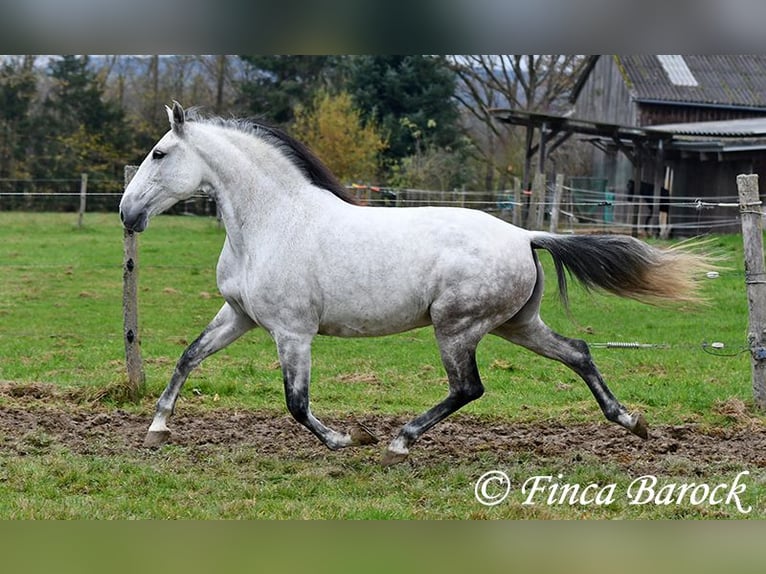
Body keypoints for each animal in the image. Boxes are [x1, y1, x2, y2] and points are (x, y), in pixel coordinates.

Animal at [120, 102, 712, 464]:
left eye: (159, 153)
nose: (127, 213)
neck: (272, 222)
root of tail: (526, 235)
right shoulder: (239, 315)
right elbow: (189, 357)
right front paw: (157, 428)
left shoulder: (292, 332)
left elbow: (296, 403)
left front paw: (347, 439)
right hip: (517, 324)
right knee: (578, 351)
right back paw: (631, 421)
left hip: (457, 328)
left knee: (468, 388)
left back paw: (399, 442)